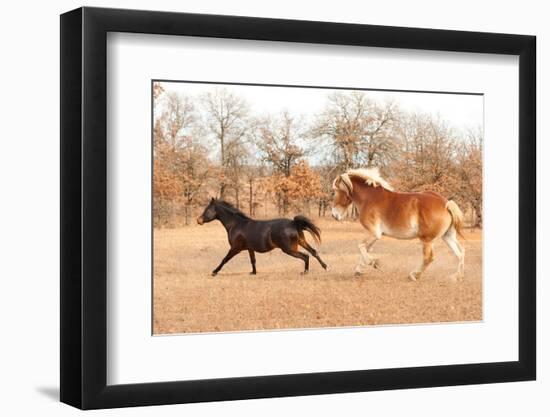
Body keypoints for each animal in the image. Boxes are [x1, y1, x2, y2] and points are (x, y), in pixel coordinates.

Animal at [197, 198, 330, 276]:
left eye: (207, 209)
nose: (199, 220)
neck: (236, 224)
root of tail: (294, 223)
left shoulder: (235, 248)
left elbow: (224, 259)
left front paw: (214, 272)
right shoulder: (250, 249)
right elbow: (253, 261)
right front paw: (253, 273)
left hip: (289, 249)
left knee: (305, 256)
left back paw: (305, 272)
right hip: (301, 242)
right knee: (313, 252)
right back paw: (325, 267)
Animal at [332, 167, 466, 282]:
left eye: (335, 191)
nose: (334, 215)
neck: (369, 198)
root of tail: (446, 204)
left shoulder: (374, 233)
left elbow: (361, 246)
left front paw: (375, 263)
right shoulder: (374, 235)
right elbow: (365, 249)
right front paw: (358, 271)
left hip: (427, 239)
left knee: (429, 258)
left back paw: (413, 275)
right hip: (447, 236)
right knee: (460, 253)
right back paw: (455, 277)